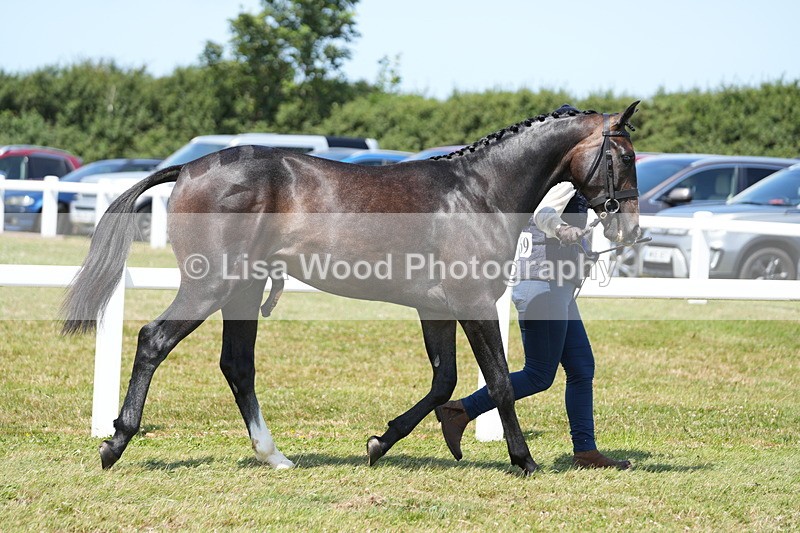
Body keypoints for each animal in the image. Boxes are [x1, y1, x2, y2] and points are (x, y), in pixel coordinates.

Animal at [62, 102, 642, 475]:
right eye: (626, 156)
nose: (628, 228)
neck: (477, 194)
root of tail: (187, 168)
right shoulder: (473, 303)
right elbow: (498, 381)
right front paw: (524, 461)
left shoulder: (435, 308)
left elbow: (444, 383)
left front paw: (379, 442)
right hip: (212, 285)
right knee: (154, 340)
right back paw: (116, 443)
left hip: (243, 290)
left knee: (237, 366)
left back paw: (274, 456)